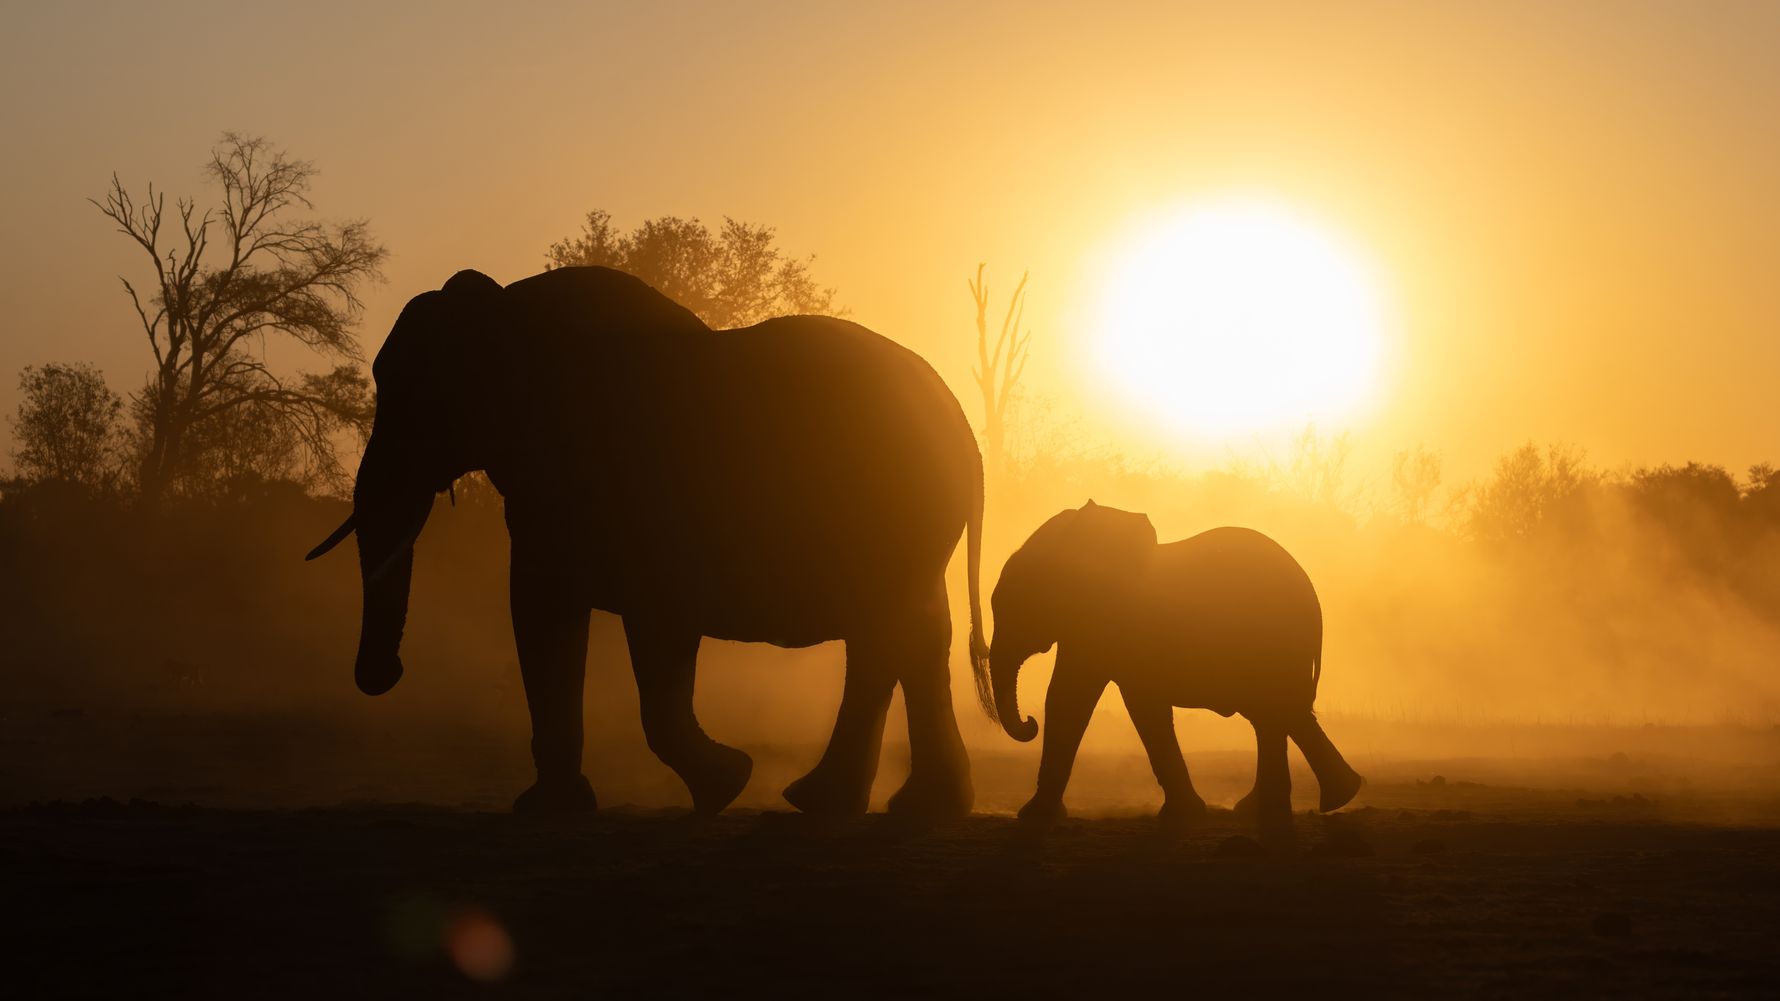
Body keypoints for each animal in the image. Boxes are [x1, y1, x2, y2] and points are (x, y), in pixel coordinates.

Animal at [306, 266, 989, 818]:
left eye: (424, 397)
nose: (383, 675)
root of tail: (966, 429)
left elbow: (654, 630)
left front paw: (725, 784)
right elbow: (541, 614)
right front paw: (549, 811)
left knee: (889, 635)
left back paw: (836, 803)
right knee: (914, 635)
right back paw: (896, 807)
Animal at [986, 501, 1363, 829]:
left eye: (1017, 603)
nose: (1029, 723)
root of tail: (1313, 597)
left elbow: (1102, 700)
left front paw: (1032, 817)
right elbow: (1080, 698)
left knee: (1278, 712)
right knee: (1278, 715)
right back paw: (1312, 801)